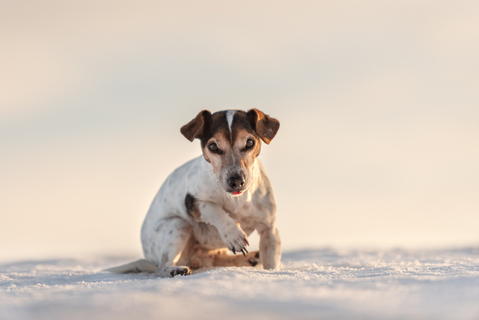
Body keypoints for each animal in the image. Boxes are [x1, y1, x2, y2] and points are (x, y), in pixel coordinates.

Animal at [108, 109, 282, 276]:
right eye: (213, 147)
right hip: (178, 225)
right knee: (161, 268)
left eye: (250, 142)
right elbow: (213, 209)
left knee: (216, 260)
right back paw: (175, 270)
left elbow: (271, 263)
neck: (236, 200)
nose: (236, 181)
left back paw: (251, 258)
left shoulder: (270, 230)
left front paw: (272, 273)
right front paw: (233, 233)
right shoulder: (192, 202)